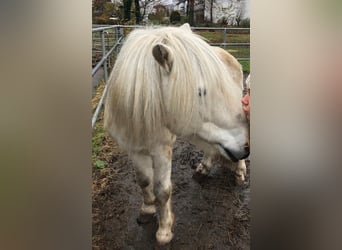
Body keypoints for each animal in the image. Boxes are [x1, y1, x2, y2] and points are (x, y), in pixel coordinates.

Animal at [103, 23, 250, 244]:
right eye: (201, 92)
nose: (245, 147)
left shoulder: (161, 150)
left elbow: (162, 190)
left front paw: (164, 231)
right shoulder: (135, 149)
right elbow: (143, 180)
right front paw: (147, 209)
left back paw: (240, 171)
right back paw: (204, 167)